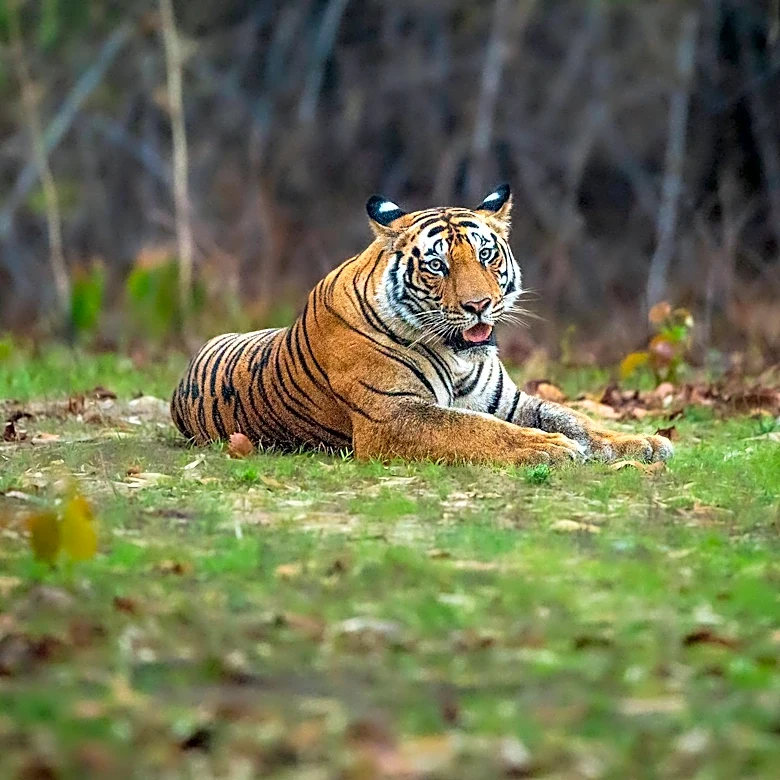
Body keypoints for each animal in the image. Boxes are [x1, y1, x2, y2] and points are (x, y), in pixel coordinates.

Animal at [171, 185, 673, 466]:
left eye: (485, 254)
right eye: (437, 265)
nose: (479, 305)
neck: (459, 356)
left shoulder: (510, 402)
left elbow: (575, 417)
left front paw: (643, 442)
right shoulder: (394, 414)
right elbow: (474, 430)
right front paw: (550, 449)